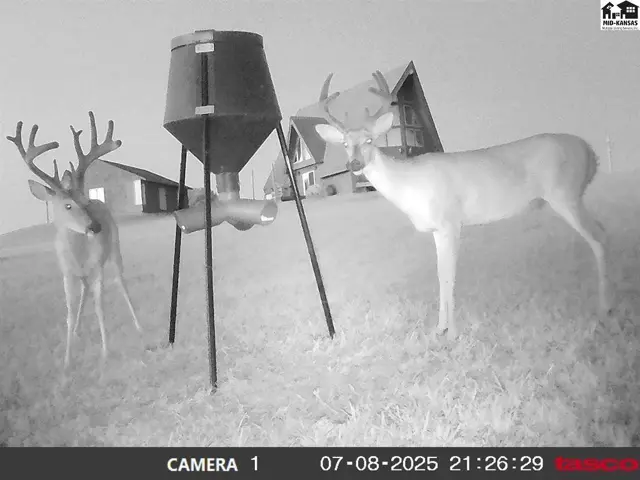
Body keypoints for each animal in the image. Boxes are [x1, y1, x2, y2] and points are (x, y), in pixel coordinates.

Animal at [6, 111, 143, 367]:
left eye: (84, 200)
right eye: (68, 205)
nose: (96, 226)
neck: (78, 253)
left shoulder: (97, 267)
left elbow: (100, 307)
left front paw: (105, 353)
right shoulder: (66, 272)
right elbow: (69, 311)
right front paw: (67, 360)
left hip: (115, 249)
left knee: (120, 282)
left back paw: (139, 326)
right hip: (83, 274)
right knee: (85, 290)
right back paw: (78, 332)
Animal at [315, 71, 614, 340]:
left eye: (369, 140)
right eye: (345, 143)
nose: (353, 164)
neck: (411, 186)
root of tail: (590, 152)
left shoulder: (451, 221)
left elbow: (449, 275)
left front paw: (453, 332)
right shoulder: (437, 229)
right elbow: (439, 275)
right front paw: (439, 328)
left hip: (565, 193)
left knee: (599, 237)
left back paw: (604, 309)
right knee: (602, 231)